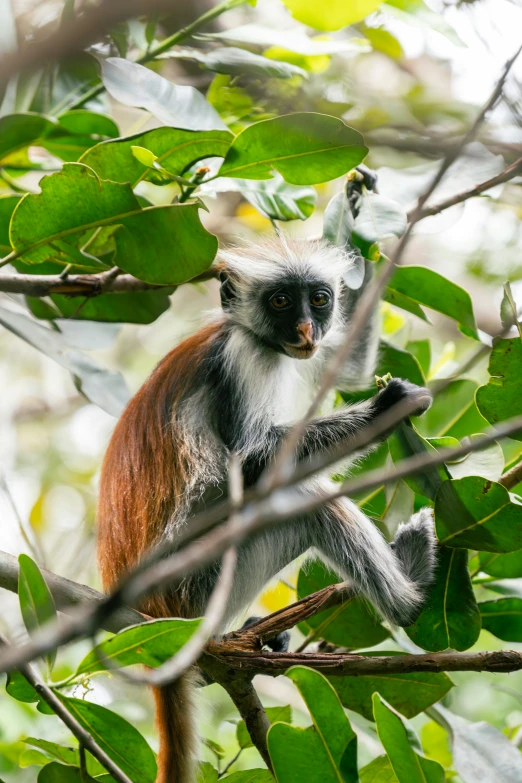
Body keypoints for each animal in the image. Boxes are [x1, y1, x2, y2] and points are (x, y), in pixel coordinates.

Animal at [96, 237, 434, 783]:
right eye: (280, 302)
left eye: (318, 300)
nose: (304, 329)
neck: (248, 334)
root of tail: (147, 615)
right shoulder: (243, 358)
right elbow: (253, 462)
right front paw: (386, 408)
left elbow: (345, 367)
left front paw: (369, 242)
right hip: (200, 586)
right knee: (304, 502)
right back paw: (410, 596)